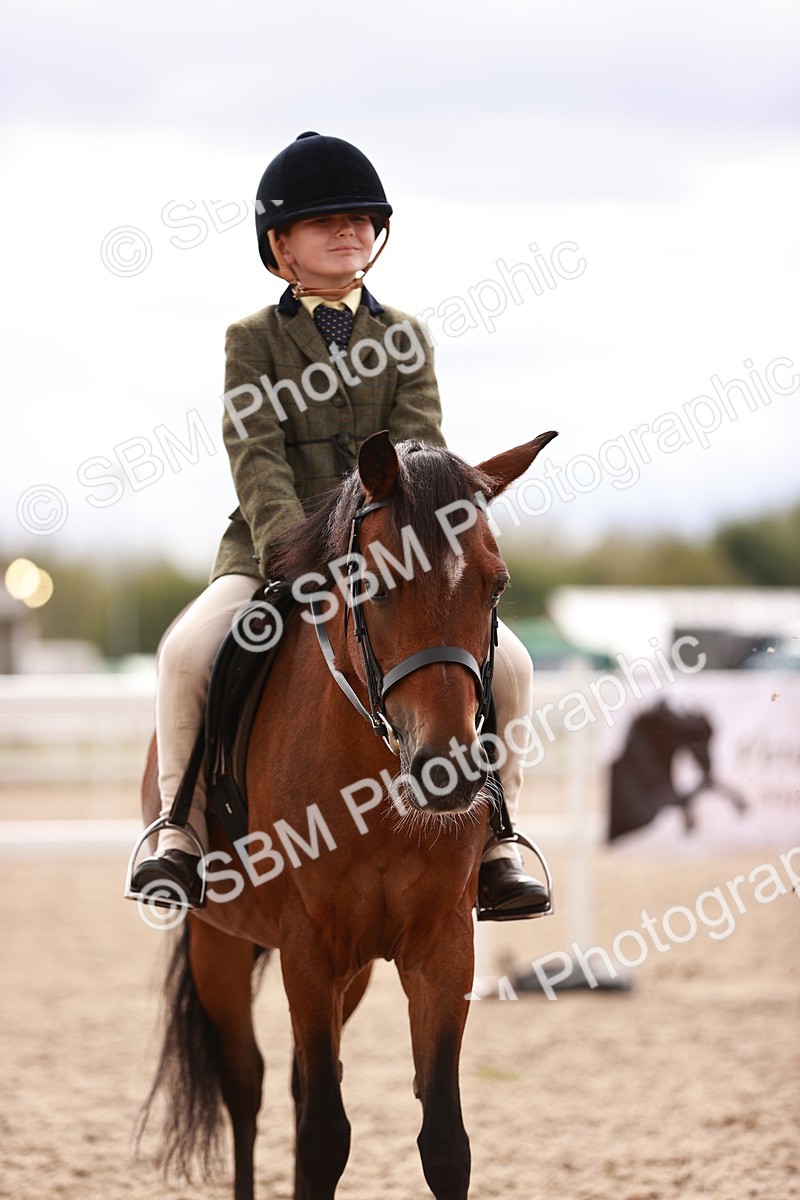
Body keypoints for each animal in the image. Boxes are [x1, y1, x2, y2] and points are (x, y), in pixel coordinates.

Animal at [136, 429, 558, 1200]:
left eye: (497, 586)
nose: (447, 772)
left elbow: (444, 1141)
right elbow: (323, 1137)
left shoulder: (442, 946)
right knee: (248, 1086)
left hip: (355, 969)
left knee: (304, 1081)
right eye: (375, 583)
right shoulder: (307, 946)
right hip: (219, 943)